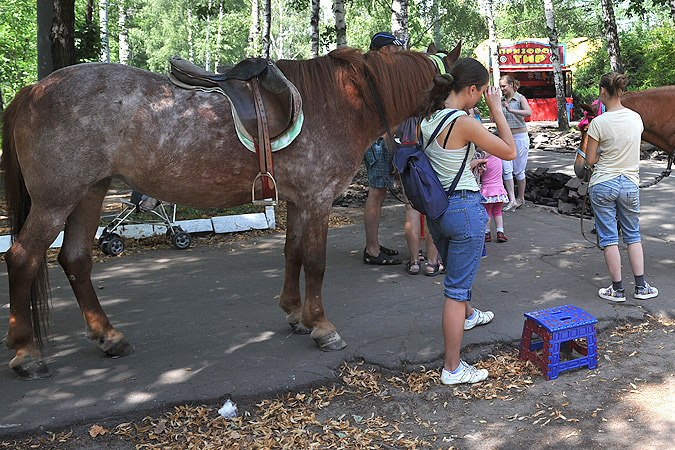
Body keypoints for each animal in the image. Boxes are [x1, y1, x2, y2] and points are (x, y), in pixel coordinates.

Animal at [0, 44, 462, 376]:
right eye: (448, 90)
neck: (341, 102)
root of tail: (32, 90)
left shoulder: (298, 201)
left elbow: (292, 253)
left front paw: (295, 314)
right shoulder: (317, 199)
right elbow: (315, 261)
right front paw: (321, 326)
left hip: (89, 193)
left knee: (76, 259)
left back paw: (109, 337)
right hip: (56, 200)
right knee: (22, 258)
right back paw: (26, 354)